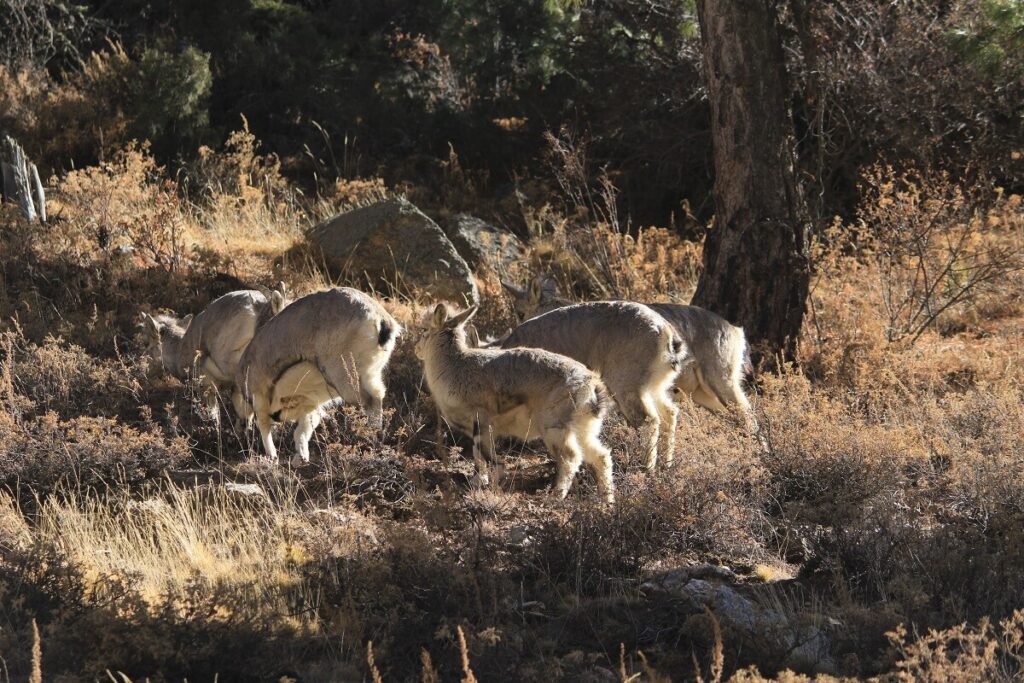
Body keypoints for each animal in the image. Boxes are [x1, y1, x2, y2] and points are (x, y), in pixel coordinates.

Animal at [141, 283, 289, 432]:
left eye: (147, 343)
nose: (144, 372)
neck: (179, 349)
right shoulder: (233, 389)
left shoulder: (207, 385)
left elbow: (214, 415)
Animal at [235, 287, 401, 465]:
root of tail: (381, 321)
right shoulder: (310, 405)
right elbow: (302, 429)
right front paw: (300, 458)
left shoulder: (259, 395)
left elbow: (264, 425)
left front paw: (272, 456)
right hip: (369, 374)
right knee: (378, 394)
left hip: (344, 378)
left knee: (370, 399)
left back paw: (369, 435)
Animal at [417, 303, 615, 502]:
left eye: (424, 329)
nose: (416, 349)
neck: (455, 365)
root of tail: (592, 383)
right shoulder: (480, 429)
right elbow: (478, 454)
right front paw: (477, 482)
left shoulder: (481, 421)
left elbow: (487, 456)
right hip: (583, 430)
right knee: (601, 456)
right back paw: (607, 501)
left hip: (554, 429)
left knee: (571, 458)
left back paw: (556, 497)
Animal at [497, 299, 687, 471]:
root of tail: (666, 332)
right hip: (653, 388)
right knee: (669, 413)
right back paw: (666, 463)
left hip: (625, 387)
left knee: (648, 420)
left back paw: (646, 467)